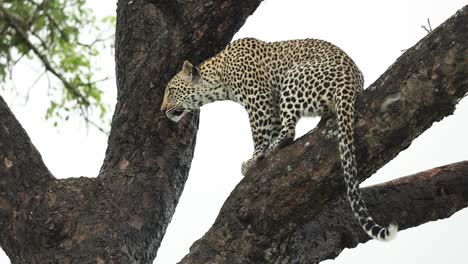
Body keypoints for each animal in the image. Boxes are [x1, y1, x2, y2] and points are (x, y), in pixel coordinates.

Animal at [161, 37, 398, 241]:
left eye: (171, 90)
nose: (162, 110)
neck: (219, 77)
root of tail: (350, 80)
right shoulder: (270, 106)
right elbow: (272, 128)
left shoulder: (258, 99)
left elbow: (260, 134)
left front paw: (253, 159)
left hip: (293, 77)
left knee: (289, 131)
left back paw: (272, 149)